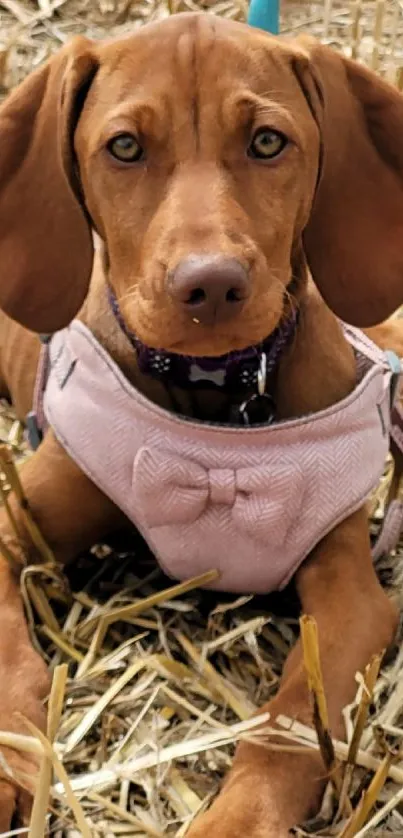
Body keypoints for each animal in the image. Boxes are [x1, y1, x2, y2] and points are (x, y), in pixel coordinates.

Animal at [0, 13, 403, 832]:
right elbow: (7, 649)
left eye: (267, 142)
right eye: (124, 147)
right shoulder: (10, 520)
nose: (211, 285)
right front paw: (13, 756)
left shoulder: (351, 593)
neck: (218, 403)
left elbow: (289, 724)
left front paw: (236, 818)